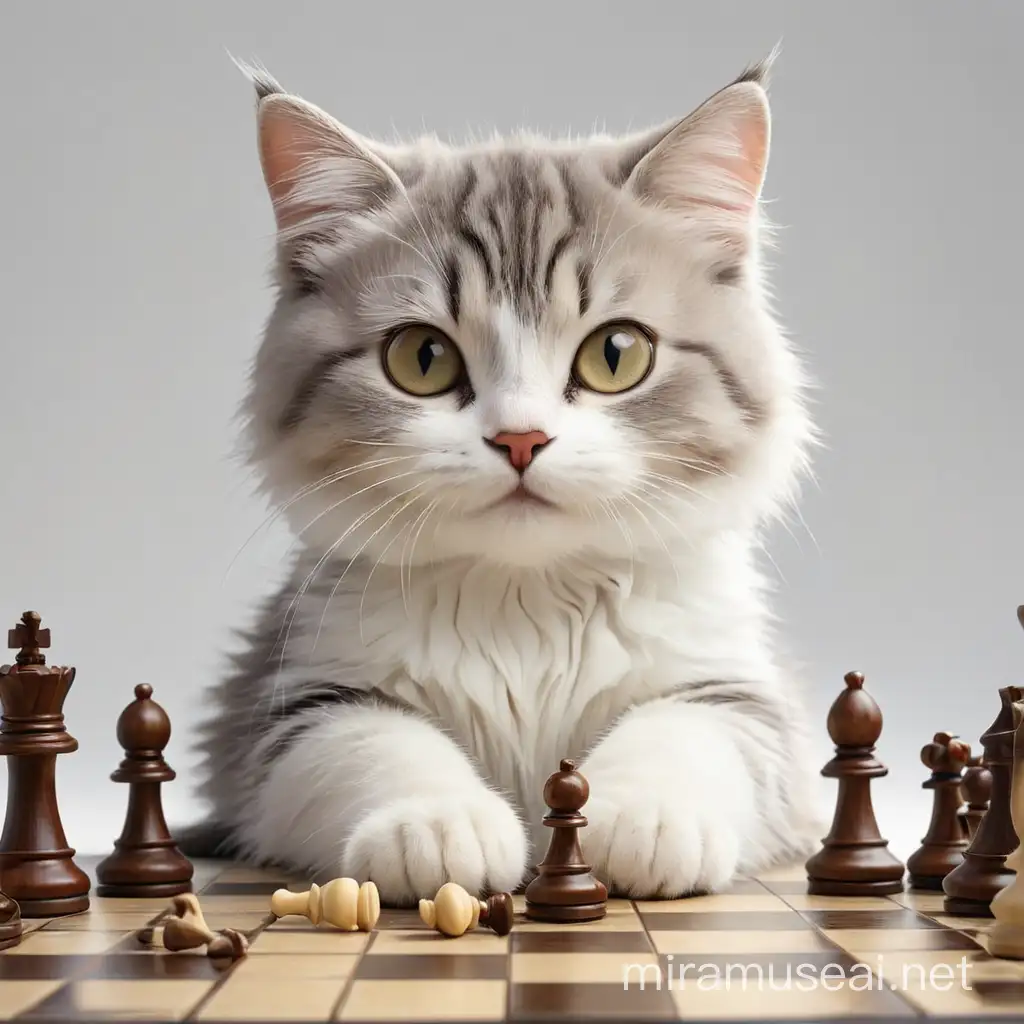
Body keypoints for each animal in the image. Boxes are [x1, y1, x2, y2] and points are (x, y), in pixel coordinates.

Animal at [190, 56, 823, 905]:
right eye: (422, 359)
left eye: (616, 354)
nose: (520, 439)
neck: (527, 607)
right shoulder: (297, 709)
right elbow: (378, 744)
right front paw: (437, 824)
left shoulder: (739, 698)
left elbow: (683, 734)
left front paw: (645, 819)